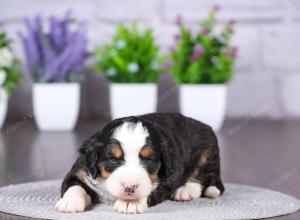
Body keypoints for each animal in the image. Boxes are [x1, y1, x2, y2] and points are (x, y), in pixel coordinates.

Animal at [55, 112, 224, 214]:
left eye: (148, 159)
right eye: (113, 159)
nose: (130, 187)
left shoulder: (165, 179)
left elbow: (149, 189)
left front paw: (131, 202)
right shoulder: (80, 169)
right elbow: (73, 185)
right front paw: (70, 202)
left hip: (207, 151)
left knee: (203, 175)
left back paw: (186, 190)